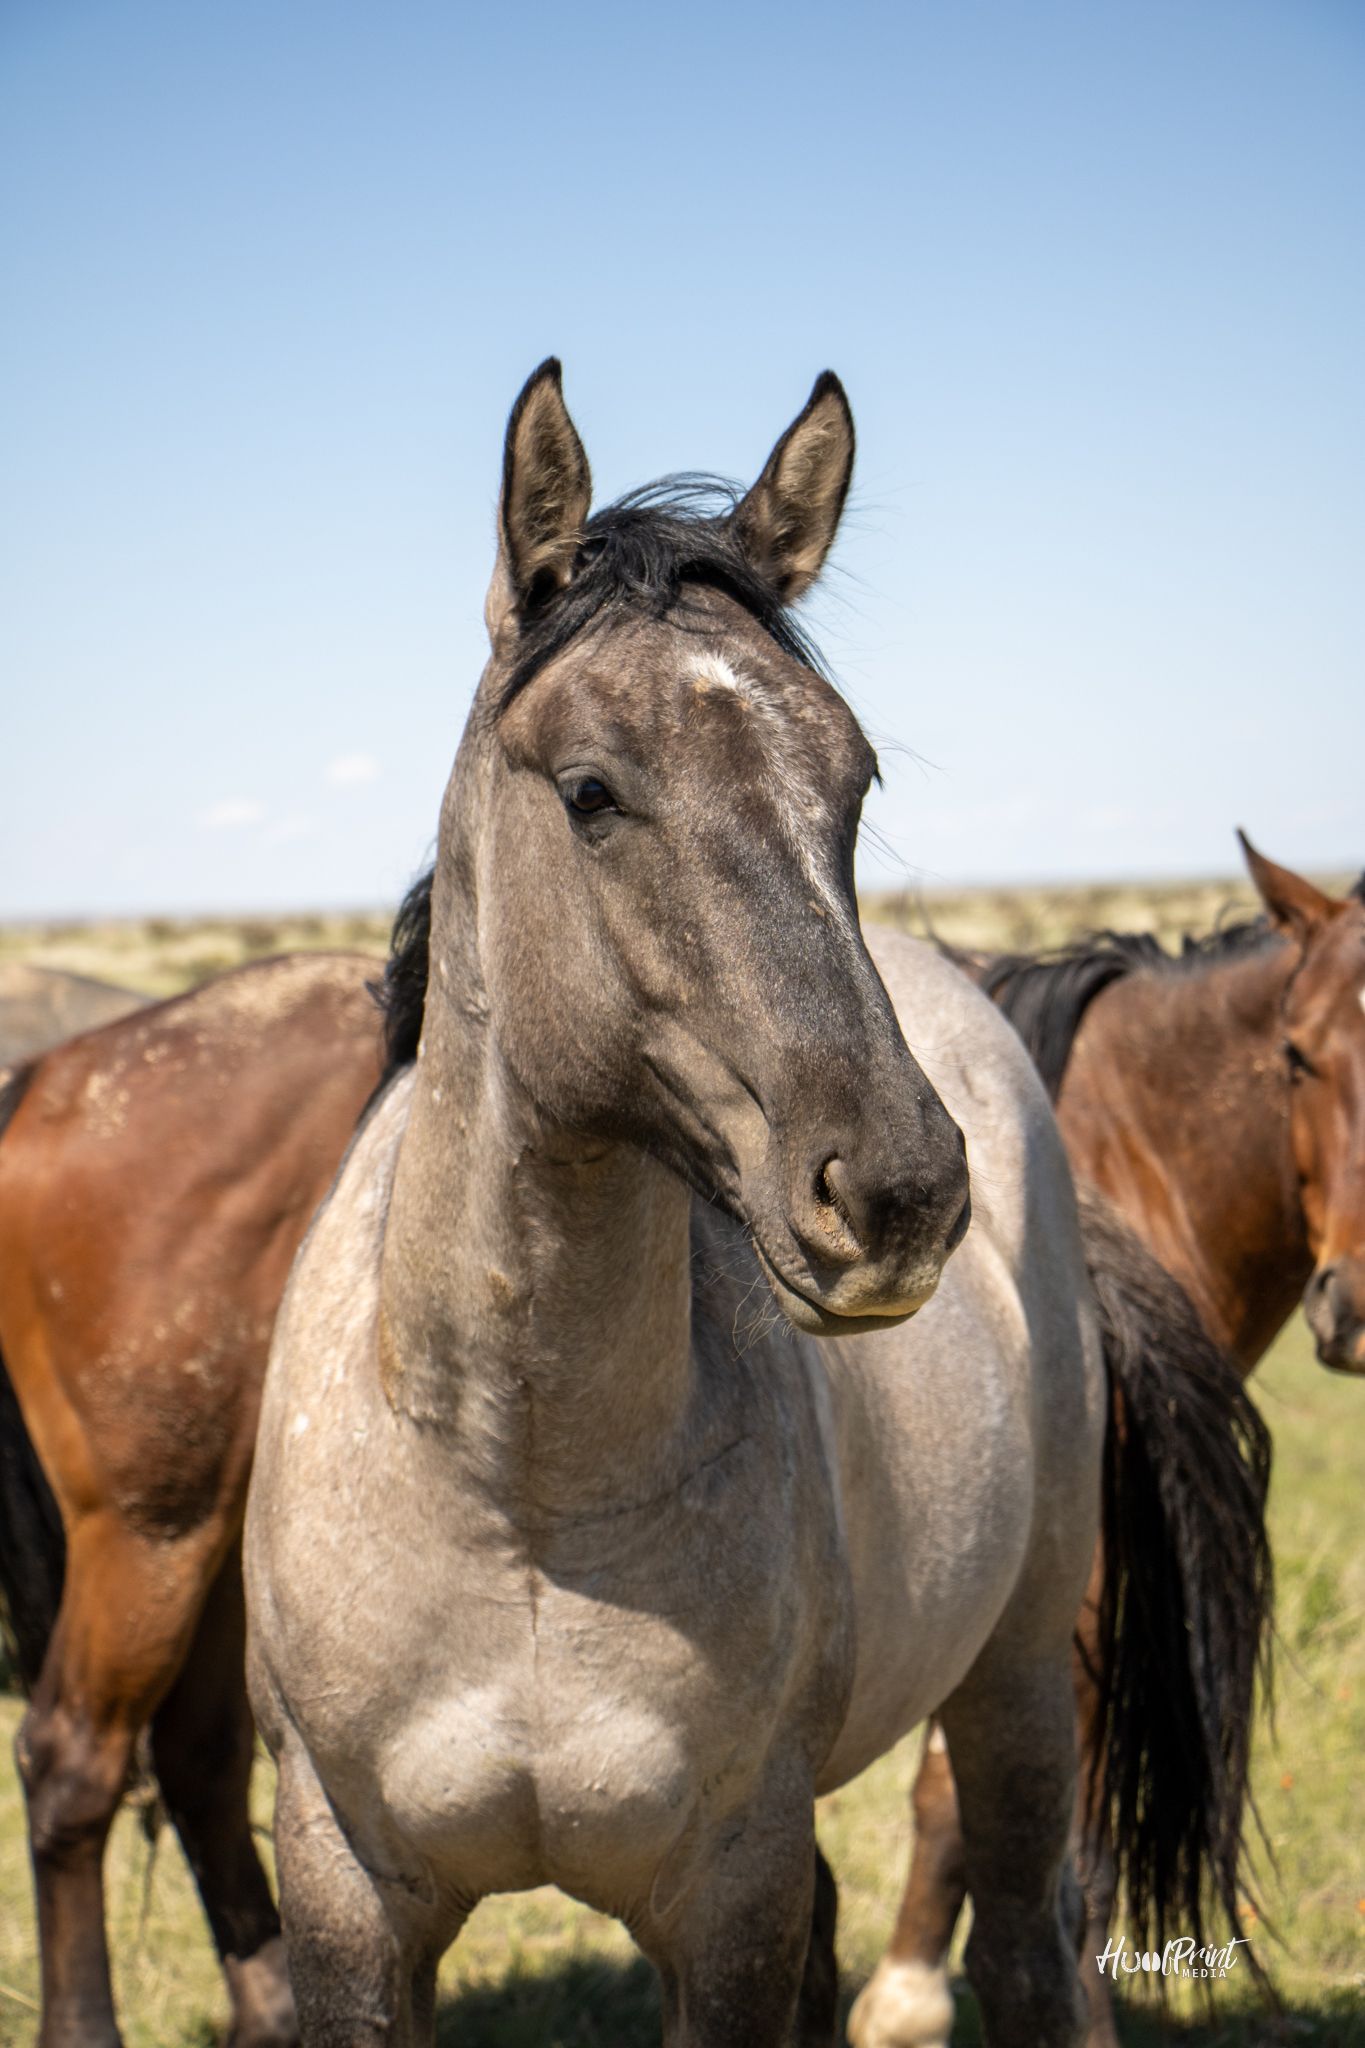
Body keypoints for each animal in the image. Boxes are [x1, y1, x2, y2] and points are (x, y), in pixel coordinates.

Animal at [0, 953, 390, 2046]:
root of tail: (50, 1080)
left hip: (214, 1536)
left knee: (198, 1757)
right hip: (147, 1533)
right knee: (71, 1758)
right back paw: (83, 2027)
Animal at [242, 361, 1259, 2048]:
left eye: (851, 784)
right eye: (591, 792)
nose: (899, 1190)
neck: (521, 1491)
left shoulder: (730, 1893)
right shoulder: (343, 1895)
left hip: (1018, 1687)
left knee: (1027, 1940)